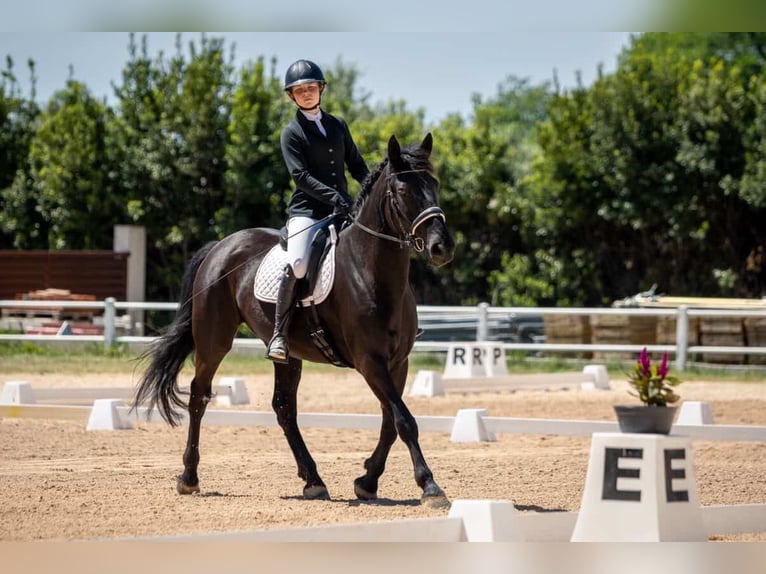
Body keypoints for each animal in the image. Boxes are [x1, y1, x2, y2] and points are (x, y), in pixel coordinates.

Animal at [133, 133, 455, 508]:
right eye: (402, 191)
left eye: (434, 185)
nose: (442, 248)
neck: (371, 271)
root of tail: (220, 246)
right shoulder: (369, 361)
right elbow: (404, 420)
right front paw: (430, 486)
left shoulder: (398, 361)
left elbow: (390, 421)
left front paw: (367, 480)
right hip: (214, 340)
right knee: (199, 395)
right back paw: (189, 477)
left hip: (289, 354)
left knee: (284, 408)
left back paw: (313, 480)